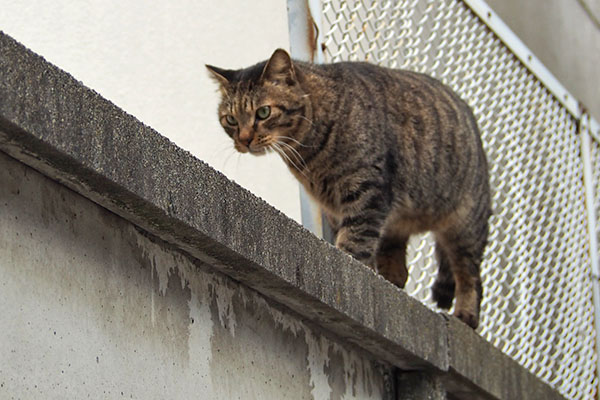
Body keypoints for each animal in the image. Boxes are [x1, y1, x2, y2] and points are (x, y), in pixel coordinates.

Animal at [206, 48, 492, 328]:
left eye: (263, 112)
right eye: (231, 120)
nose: (243, 140)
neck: (309, 154)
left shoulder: (366, 189)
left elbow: (354, 241)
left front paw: (349, 267)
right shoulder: (333, 207)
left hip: (465, 226)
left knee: (470, 276)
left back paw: (466, 314)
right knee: (398, 263)